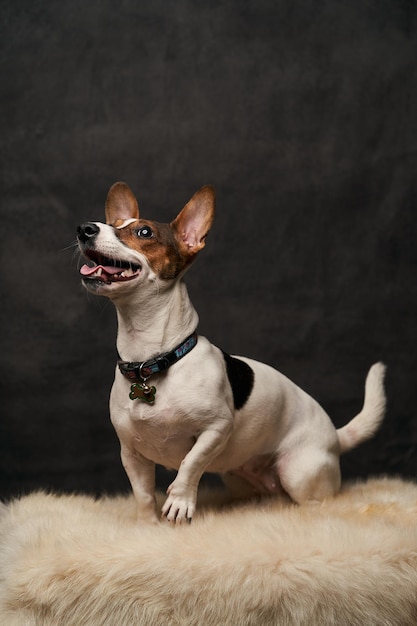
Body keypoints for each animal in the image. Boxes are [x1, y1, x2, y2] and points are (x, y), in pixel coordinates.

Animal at [76, 182, 386, 520]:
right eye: (114, 224)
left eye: (144, 232)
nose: (85, 228)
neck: (153, 359)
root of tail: (334, 436)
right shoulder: (132, 453)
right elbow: (143, 495)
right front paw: (148, 525)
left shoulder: (216, 430)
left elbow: (190, 463)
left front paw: (180, 501)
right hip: (236, 476)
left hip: (298, 471)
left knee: (318, 501)